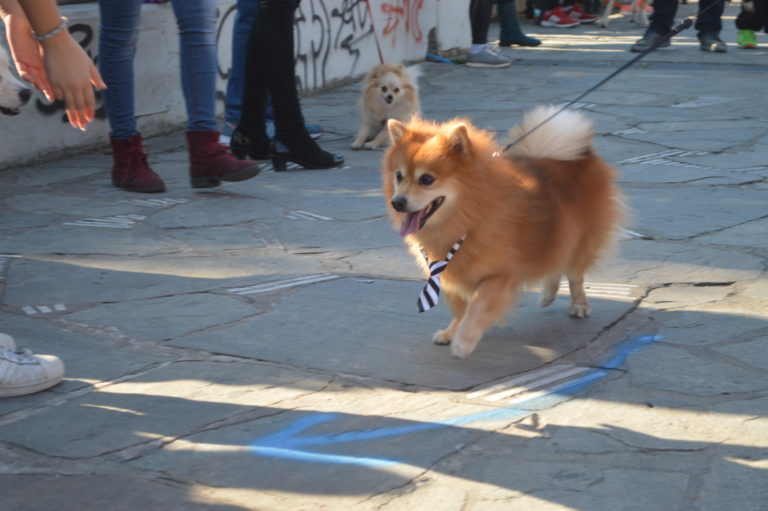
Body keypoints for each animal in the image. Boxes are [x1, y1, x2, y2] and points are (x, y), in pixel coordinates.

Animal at [382, 106, 624, 358]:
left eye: (426, 179)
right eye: (399, 176)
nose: (397, 202)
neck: (467, 216)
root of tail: (582, 154)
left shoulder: (499, 276)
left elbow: (477, 306)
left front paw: (464, 340)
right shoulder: (448, 273)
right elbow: (459, 308)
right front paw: (452, 332)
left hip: (582, 239)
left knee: (575, 275)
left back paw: (578, 304)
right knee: (555, 263)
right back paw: (548, 295)